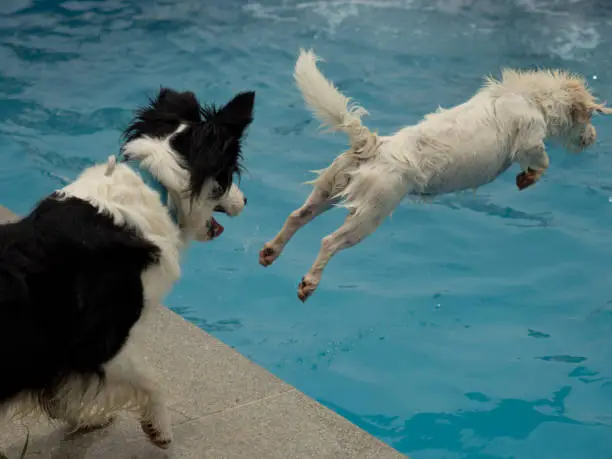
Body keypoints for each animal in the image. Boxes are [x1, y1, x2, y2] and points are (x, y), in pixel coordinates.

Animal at [0, 87, 255, 450]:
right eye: (228, 175)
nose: (246, 201)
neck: (159, 186)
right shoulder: (102, 343)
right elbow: (151, 379)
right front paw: (159, 429)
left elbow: (65, 391)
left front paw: (87, 420)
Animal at [260, 48, 612, 304]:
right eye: (590, 118)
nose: (594, 138)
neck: (531, 97)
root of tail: (372, 145)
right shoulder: (530, 140)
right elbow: (542, 160)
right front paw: (528, 178)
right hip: (370, 214)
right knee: (329, 242)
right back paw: (309, 282)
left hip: (328, 191)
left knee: (296, 217)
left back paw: (271, 251)